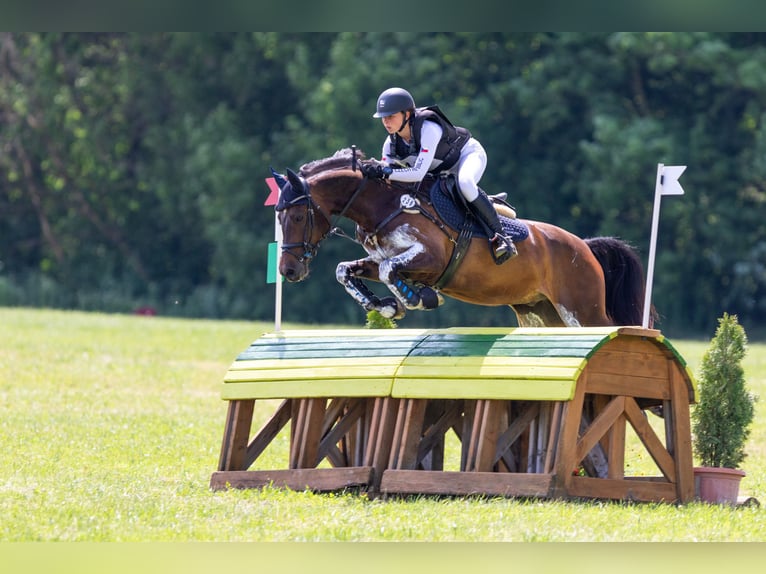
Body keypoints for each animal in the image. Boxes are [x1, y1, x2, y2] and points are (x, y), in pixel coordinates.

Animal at [272, 148, 652, 328]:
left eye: (297, 216)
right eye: (278, 216)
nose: (288, 271)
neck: (382, 204)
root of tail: (584, 246)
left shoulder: (431, 258)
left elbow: (389, 271)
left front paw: (418, 298)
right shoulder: (380, 257)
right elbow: (346, 270)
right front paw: (386, 305)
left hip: (581, 308)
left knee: (615, 330)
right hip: (541, 312)